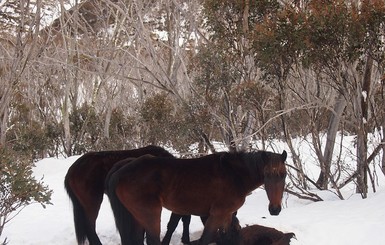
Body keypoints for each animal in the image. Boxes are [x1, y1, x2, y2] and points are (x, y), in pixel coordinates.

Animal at [105, 150, 284, 244]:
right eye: (267, 175)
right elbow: (206, 238)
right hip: (150, 215)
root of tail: (122, 171)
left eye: (284, 175)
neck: (234, 175)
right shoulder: (216, 215)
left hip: (136, 218)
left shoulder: (226, 216)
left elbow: (226, 238)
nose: (275, 209)